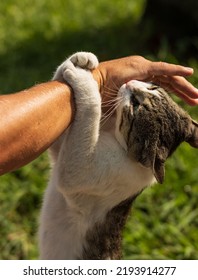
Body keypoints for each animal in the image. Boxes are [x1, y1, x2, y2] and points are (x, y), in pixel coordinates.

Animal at [39, 51, 198, 260]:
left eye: (135, 105)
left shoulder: (78, 171)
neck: (114, 136)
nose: (130, 82)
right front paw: (82, 59)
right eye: (153, 87)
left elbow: (92, 107)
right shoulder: (60, 151)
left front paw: (84, 79)